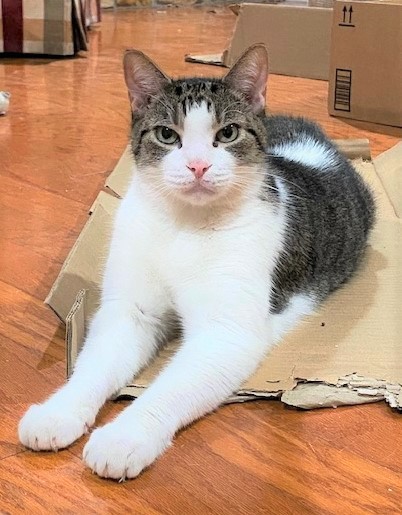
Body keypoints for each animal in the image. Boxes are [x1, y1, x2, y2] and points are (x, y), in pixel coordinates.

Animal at [18, 44, 375, 481]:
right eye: (167, 135)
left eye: (228, 133)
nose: (198, 166)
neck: (183, 226)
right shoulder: (130, 311)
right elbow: (95, 364)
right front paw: (58, 411)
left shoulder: (225, 335)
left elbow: (169, 389)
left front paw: (124, 436)